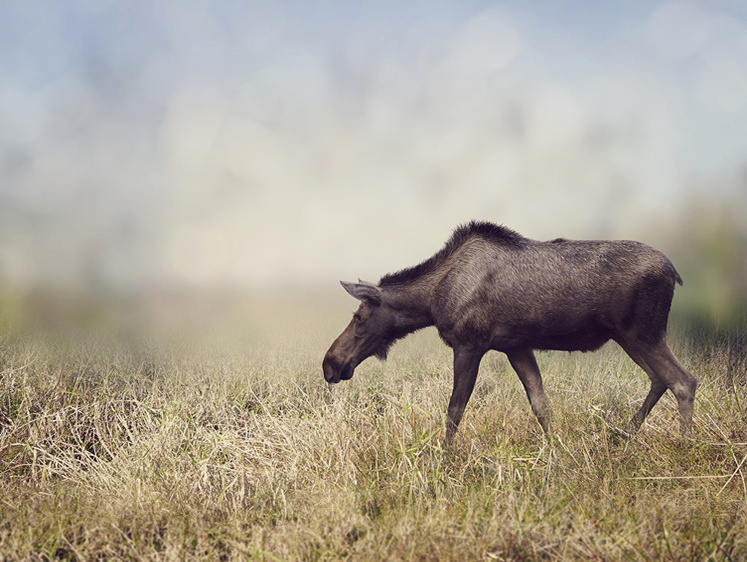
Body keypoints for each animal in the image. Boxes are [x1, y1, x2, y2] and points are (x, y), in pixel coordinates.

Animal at [324, 220, 700, 442]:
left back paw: (683, 444)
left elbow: (454, 410)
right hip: (629, 337)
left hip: (643, 333)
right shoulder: (516, 346)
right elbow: (541, 405)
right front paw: (557, 450)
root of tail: (674, 272)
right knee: (660, 379)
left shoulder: (469, 344)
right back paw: (624, 434)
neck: (431, 302)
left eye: (359, 316)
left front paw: (444, 460)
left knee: (683, 381)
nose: (330, 363)